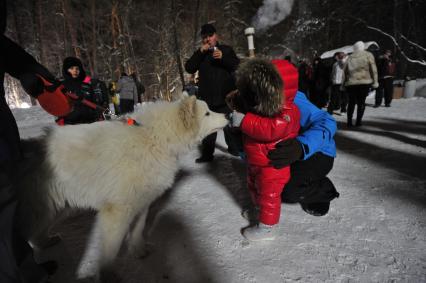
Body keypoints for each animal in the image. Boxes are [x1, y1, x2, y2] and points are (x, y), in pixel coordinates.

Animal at [17, 96, 230, 280]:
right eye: (207, 113)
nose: (228, 114)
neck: (154, 137)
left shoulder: (142, 200)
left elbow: (138, 229)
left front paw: (138, 250)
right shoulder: (117, 210)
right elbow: (111, 249)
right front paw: (108, 274)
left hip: (58, 207)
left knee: (36, 234)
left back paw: (47, 241)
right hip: (42, 208)